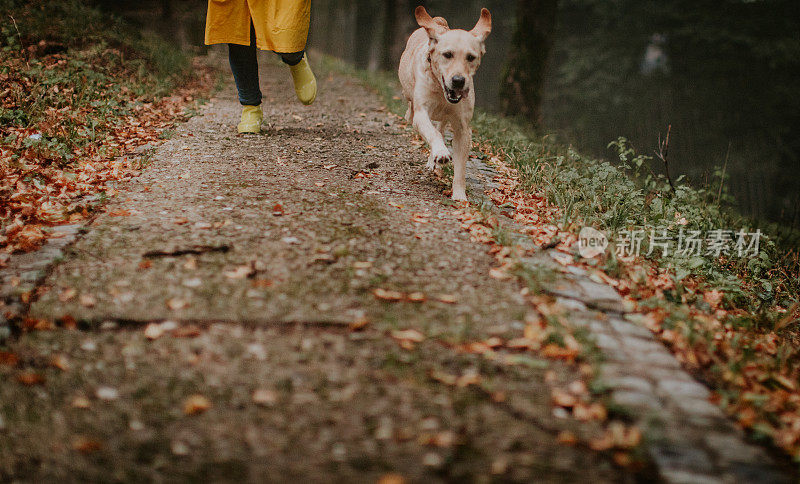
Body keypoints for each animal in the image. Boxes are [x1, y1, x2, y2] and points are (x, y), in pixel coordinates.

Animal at [398, 6, 490, 199]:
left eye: (471, 57)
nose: (458, 80)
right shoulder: (421, 114)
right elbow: (433, 133)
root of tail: (438, 23)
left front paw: (459, 195)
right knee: (419, 117)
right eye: (447, 55)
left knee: (441, 126)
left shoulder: (463, 128)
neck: (441, 91)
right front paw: (441, 152)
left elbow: (460, 167)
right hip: (410, 101)